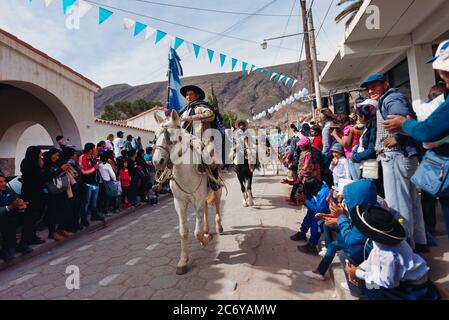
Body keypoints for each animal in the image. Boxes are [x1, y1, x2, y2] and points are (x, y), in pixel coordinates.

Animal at [153, 110, 223, 276]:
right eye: (155, 136)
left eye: (175, 137)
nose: (157, 162)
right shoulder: (179, 203)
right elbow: (183, 231)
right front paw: (183, 262)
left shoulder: (197, 200)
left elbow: (197, 233)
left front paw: (206, 240)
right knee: (206, 210)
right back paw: (207, 229)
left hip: (216, 189)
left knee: (217, 206)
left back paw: (218, 228)